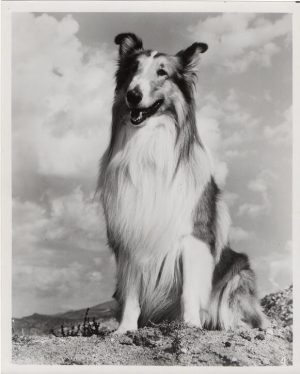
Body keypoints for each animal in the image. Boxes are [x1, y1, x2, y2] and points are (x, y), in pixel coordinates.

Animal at [99, 32, 268, 334]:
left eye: (162, 73)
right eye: (133, 70)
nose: (133, 95)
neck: (149, 143)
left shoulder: (193, 235)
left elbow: (190, 289)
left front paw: (190, 325)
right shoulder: (131, 233)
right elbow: (131, 292)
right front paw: (126, 328)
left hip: (238, 270)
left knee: (246, 314)